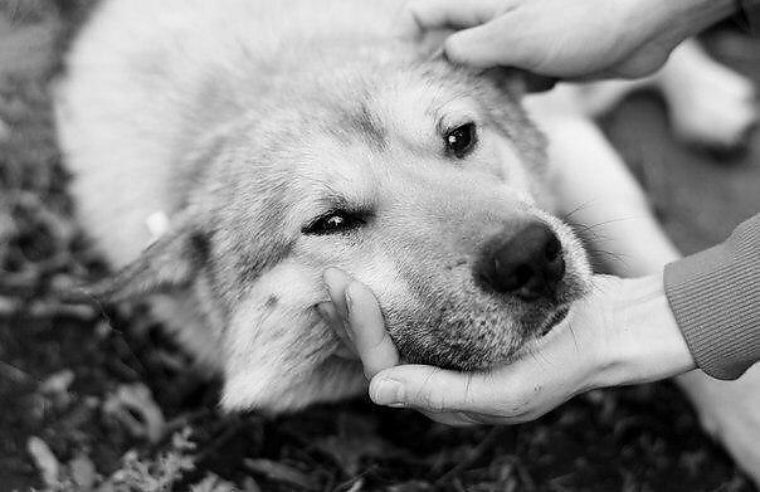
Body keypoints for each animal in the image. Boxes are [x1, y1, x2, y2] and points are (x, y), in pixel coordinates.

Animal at [56, 0, 756, 422]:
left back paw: (710, 99)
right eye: (332, 222)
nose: (532, 258)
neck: (268, 80)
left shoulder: (576, 154)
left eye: (460, 137)